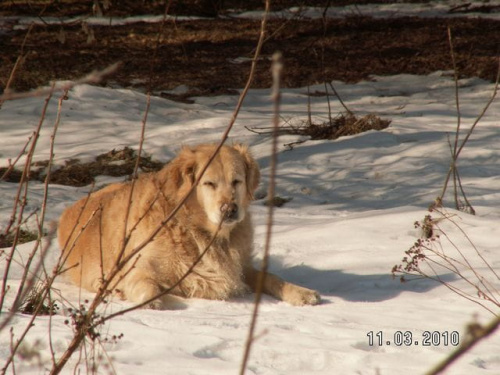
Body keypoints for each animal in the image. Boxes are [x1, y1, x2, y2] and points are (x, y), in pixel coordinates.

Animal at [56, 144, 318, 308]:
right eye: (209, 183)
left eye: (237, 181)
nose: (230, 210)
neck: (196, 230)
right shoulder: (138, 263)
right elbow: (144, 282)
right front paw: (146, 298)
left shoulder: (240, 269)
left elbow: (270, 276)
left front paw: (301, 292)